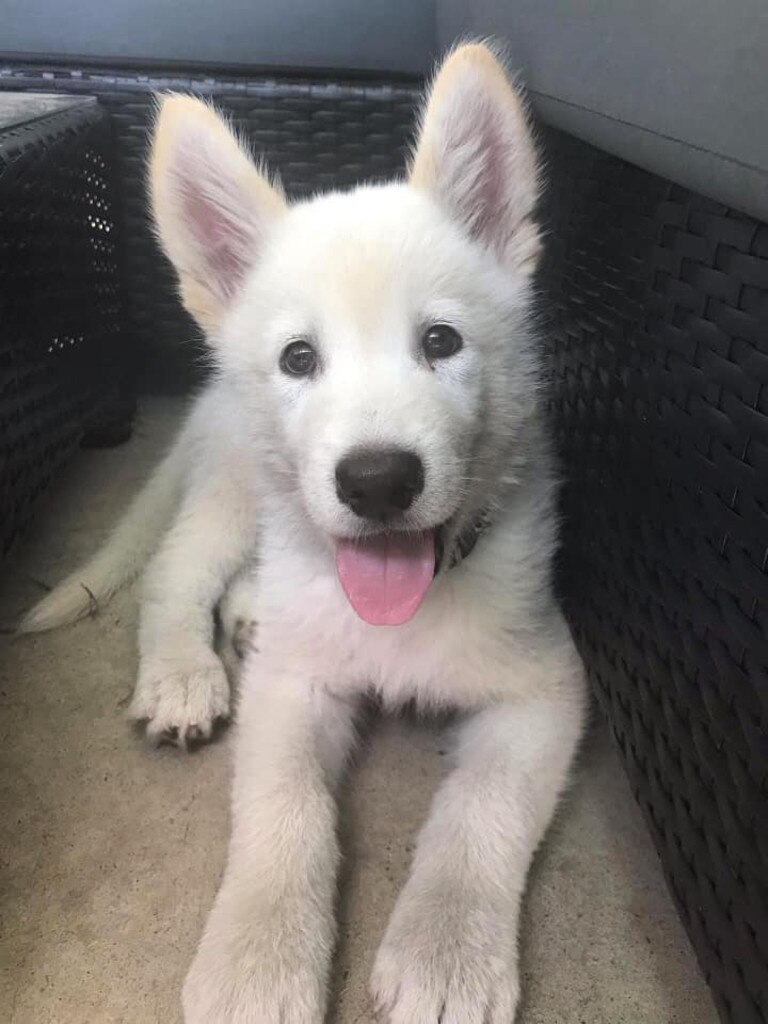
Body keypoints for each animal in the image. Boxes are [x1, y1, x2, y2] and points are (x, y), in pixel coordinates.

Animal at [24, 41, 589, 1024]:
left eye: (442, 342)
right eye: (298, 358)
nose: (378, 481)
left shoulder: (545, 687)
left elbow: (479, 808)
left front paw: (446, 953)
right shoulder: (288, 695)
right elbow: (286, 809)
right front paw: (258, 958)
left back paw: (253, 613)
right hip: (235, 485)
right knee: (177, 571)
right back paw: (182, 672)